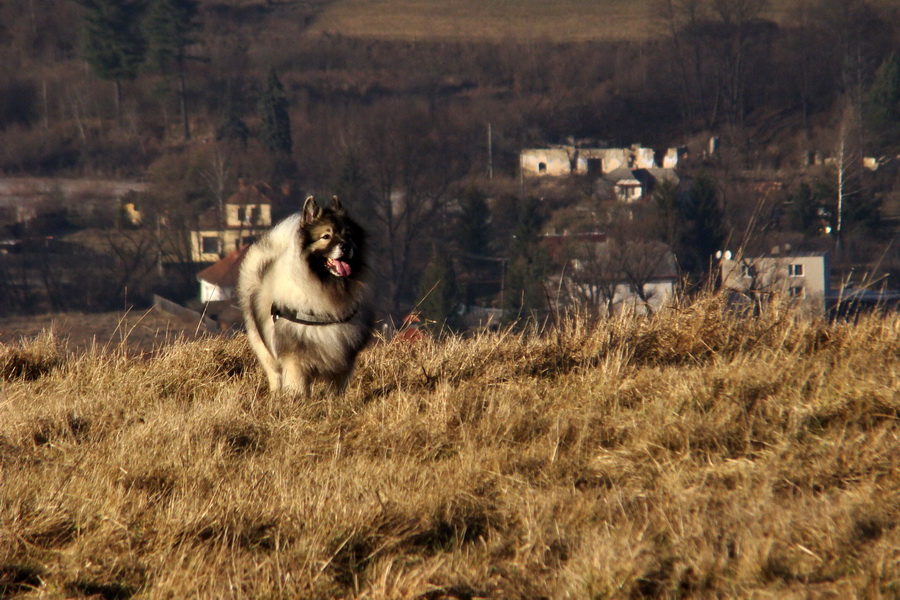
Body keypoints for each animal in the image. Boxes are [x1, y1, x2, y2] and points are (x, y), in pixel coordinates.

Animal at [239, 195, 372, 396]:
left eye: (348, 236)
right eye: (326, 236)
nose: (345, 246)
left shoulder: (342, 356)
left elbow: (336, 386)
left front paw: (335, 401)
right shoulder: (295, 358)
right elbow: (298, 385)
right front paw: (298, 400)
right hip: (265, 349)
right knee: (274, 375)